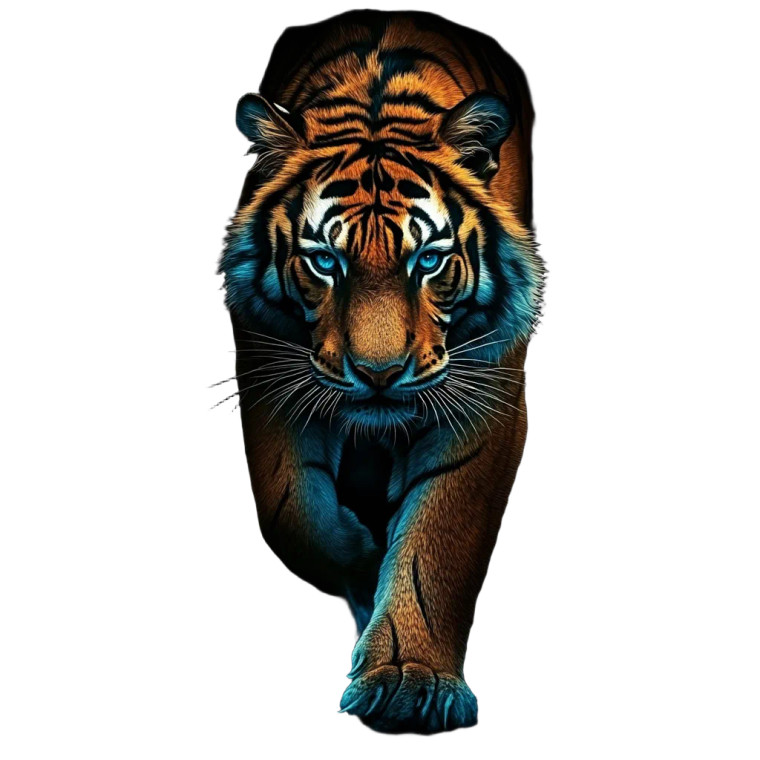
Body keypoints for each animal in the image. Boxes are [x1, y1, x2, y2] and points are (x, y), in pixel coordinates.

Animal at [218, 10, 544, 733]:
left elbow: (438, 540)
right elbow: (293, 512)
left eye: (427, 260)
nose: (378, 373)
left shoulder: (484, 394)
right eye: (324, 261)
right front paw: (366, 564)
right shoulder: (267, 370)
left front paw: (409, 683)